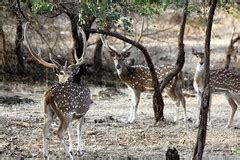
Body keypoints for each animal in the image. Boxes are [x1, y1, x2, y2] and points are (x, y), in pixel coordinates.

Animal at [24, 22, 92, 159]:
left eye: (72, 72)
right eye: (61, 73)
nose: (70, 78)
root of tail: (48, 96)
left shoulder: (73, 115)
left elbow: (71, 131)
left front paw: (73, 149)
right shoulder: (82, 112)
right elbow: (79, 130)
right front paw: (78, 151)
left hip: (48, 112)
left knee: (44, 130)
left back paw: (46, 155)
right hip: (65, 112)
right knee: (59, 132)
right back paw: (69, 156)